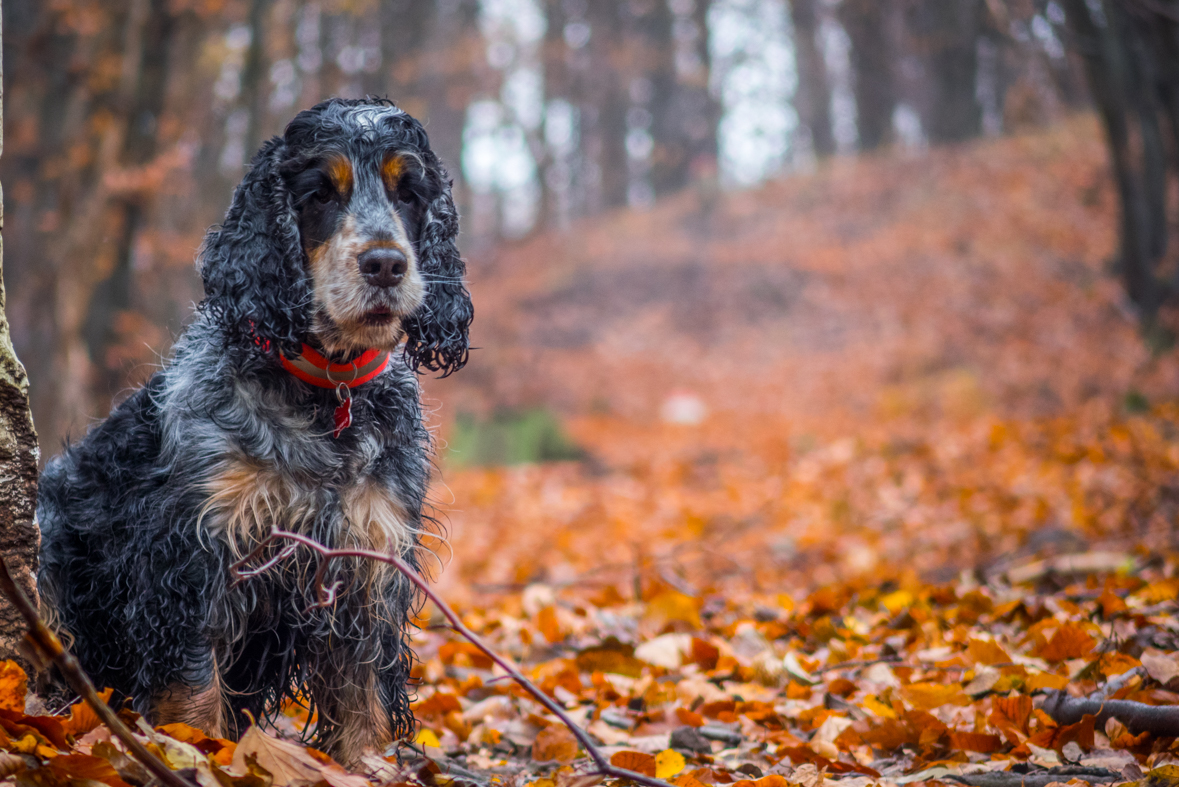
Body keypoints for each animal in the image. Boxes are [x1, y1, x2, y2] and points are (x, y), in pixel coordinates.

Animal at [36, 95, 469, 763]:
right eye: (319, 194)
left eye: (410, 193)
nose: (386, 264)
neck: (327, 395)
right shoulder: (195, 555)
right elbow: (192, 690)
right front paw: (198, 757)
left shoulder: (367, 559)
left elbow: (363, 700)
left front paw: (364, 767)